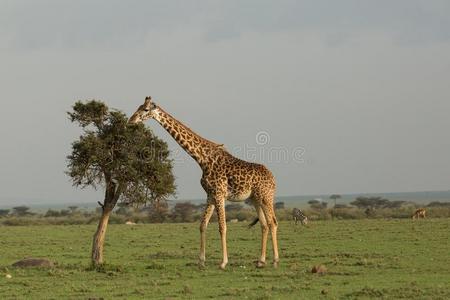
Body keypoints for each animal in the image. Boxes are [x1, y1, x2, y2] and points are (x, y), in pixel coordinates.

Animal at [128, 96, 280, 270]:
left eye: (145, 109)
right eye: (138, 107)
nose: (131, 121)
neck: (202, 159)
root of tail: (273, 179)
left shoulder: (219, 194)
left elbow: (222, 227)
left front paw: (223, 262)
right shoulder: (210, 195)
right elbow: (202, 225)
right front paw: (201, 261)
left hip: (266, 197)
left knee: (273, 223)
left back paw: (275, 260)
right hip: (255, 199)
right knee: (264, 225)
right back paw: (261, 261)